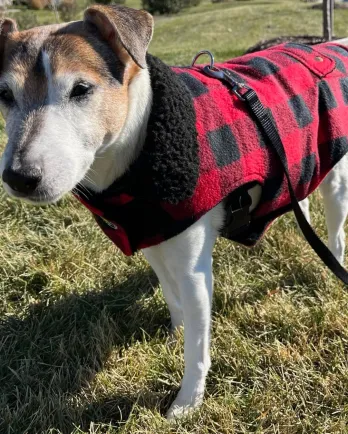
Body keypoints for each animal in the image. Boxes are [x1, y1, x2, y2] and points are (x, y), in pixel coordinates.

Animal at [0, 4, 348, 420]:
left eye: (81, 89)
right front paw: (175, 331)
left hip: (336, 176)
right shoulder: (154, 238)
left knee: (336, 231)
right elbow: (169, 294)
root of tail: (331, 45)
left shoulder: (193, 267)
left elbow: (197, 345)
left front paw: (187, 402)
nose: (18, 177)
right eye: (4, 95)